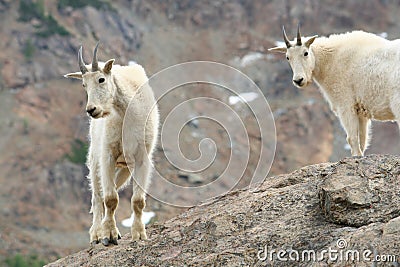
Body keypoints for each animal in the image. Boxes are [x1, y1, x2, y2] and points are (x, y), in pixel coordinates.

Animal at [63, 44, 158, 247]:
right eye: (84, 85)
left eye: (101, 79)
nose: (91, 110)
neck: (125, 111)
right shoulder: (107, 155)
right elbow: (110, 198)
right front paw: (109, 234)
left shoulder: (142, 157)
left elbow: (138, 200)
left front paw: (139, 234)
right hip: (94, 159)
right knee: (97, 196)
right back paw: (96, 233)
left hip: (125, 167)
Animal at [268, 25, 400, 157]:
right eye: (287, 57)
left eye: (305, 53)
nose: (298, 80)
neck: (330, 60)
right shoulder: (361, 110)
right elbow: (362, 139)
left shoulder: (345, 105)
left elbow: (352, 138)